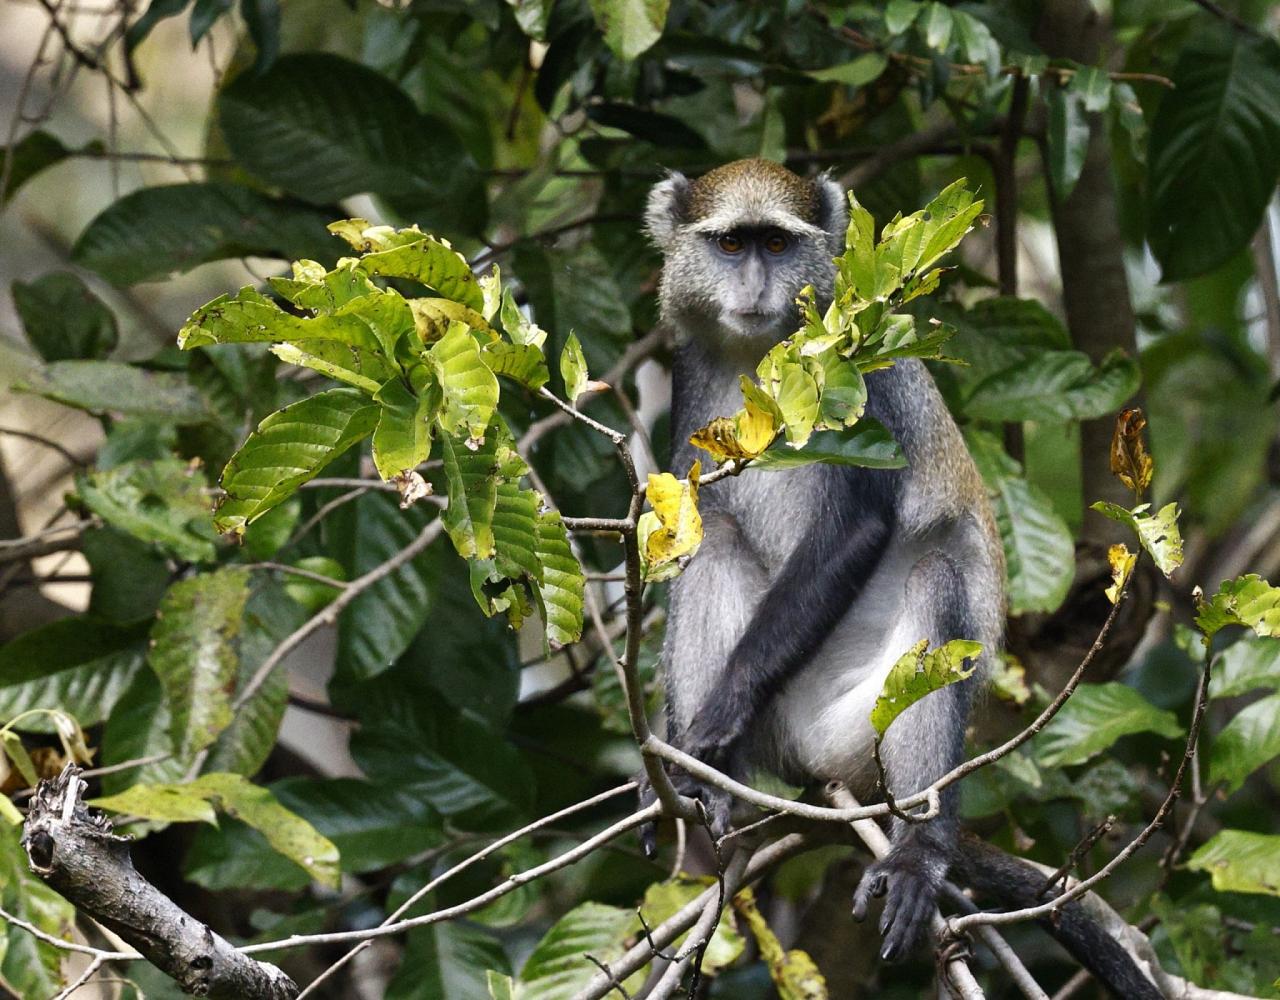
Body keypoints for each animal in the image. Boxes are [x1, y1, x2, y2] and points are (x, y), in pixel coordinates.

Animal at [645, 160, 1003, 962]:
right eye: (731, 244)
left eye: (777, 244)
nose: (754, 286)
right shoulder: (688, 368)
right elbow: (688, 525)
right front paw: (690, 748)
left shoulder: (855, 364)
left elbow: (859, 527)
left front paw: (719, 713)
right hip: (781, 729)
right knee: (717, 537)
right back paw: (708, 786)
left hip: (859, 729)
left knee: (938, 580)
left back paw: (920, 851)